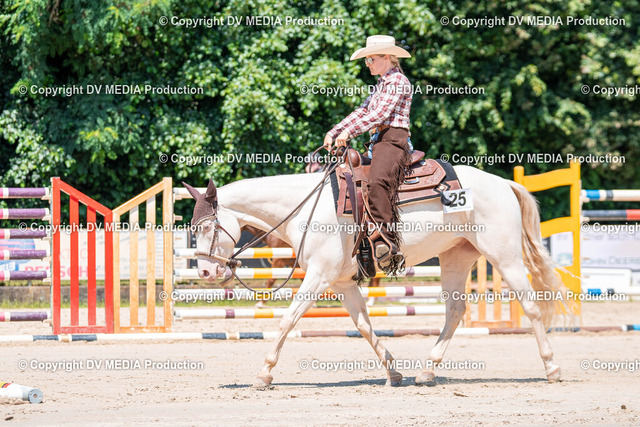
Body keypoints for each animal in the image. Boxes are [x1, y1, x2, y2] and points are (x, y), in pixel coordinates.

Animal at [183, 165, 568, 388]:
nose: (204, 270)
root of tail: (503, 183)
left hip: (505, 257)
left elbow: (288, 320)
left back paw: (552, 368)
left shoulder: (319, 277)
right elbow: (364, 326)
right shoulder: (340, 282)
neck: (306, 208)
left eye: (207, 227)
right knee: (455, 312)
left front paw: (264, 373)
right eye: (192, 227)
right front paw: (393, 372)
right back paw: (426, 372)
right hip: (456, 257)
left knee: (532, 307)